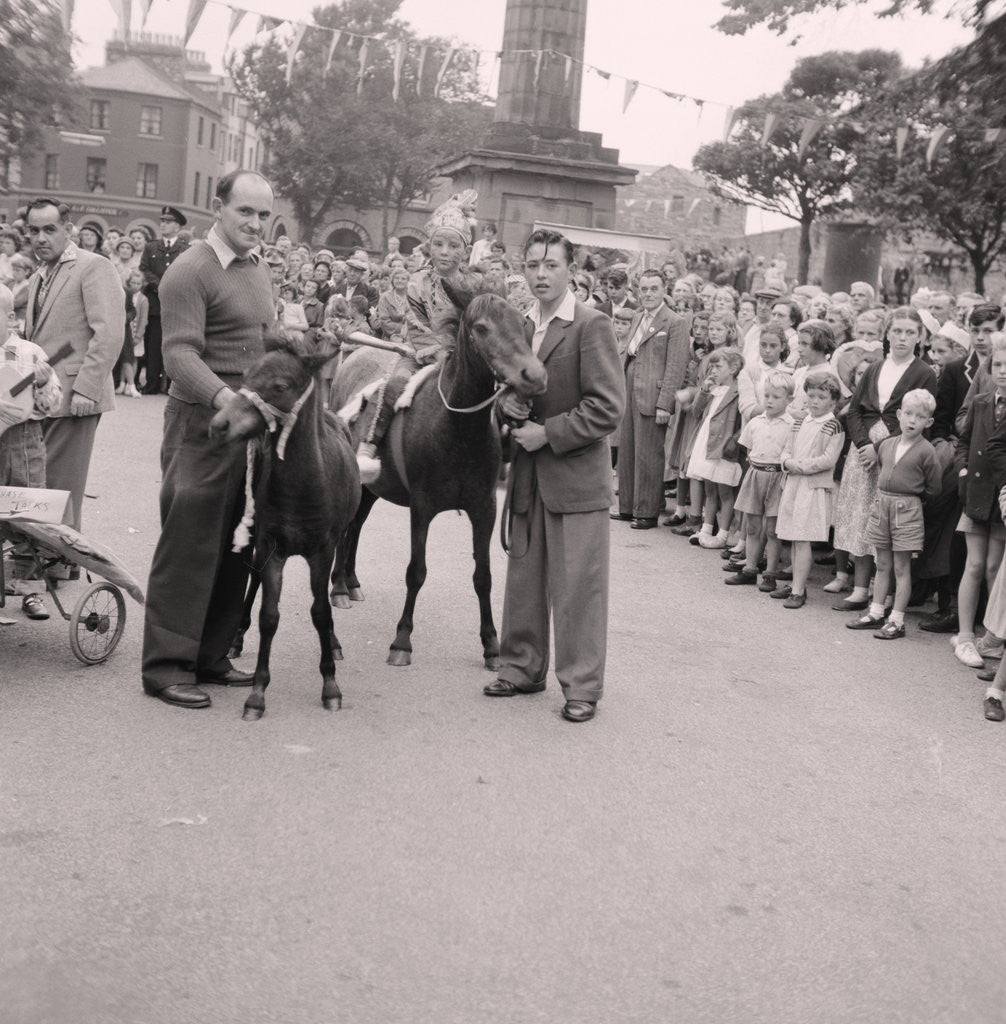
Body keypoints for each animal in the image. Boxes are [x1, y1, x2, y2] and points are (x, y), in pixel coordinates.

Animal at [208, 331, 362, 716]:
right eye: (246, 375)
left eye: (280, 385)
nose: (219, 425)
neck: (303, 485)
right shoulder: (270, 547)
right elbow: (269, 615)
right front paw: (257, 692)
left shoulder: (322, 551)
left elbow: (320, 611)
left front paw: (331, 686)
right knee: (254, 582)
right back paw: (236, 639)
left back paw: (333, 642)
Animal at [329, 276, 553, 667]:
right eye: (481, 328)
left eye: (522, 324)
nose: (534, 376)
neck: (456, 430)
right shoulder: (422, 508)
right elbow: (416, 572)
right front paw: (401, 641)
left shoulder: (485, 509)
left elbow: (483, 576)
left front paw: (491, 645)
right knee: (346, 527)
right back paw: (338, 587)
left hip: (373, 488)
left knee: (355, 526)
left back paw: (350, 582)